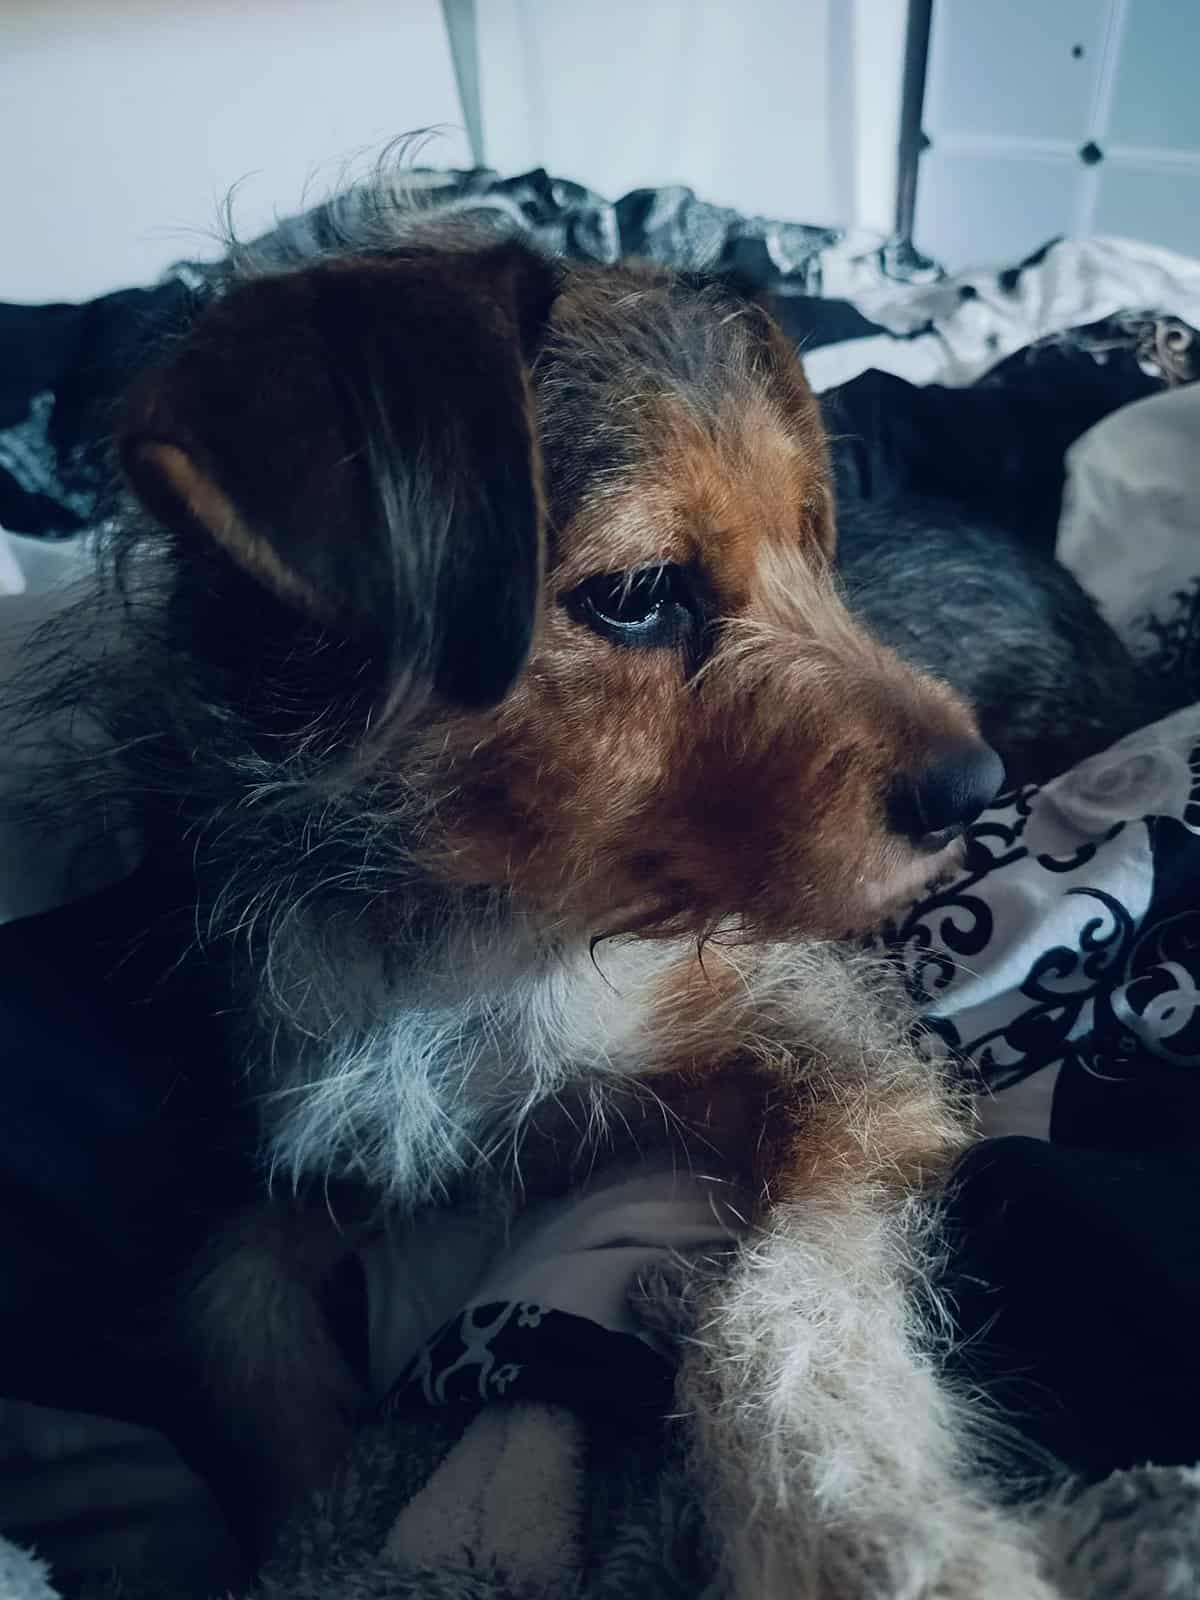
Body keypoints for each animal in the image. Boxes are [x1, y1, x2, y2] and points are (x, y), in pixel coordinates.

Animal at [19, 220, 1064, 1597]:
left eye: (810, 537)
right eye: (636, 590)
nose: (975, 787)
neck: (476, 917)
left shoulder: (836, 1047)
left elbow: (786, 1307)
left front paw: (872, 1527)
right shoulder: (296, 1151)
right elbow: (242, 1333)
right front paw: (317, 1534)